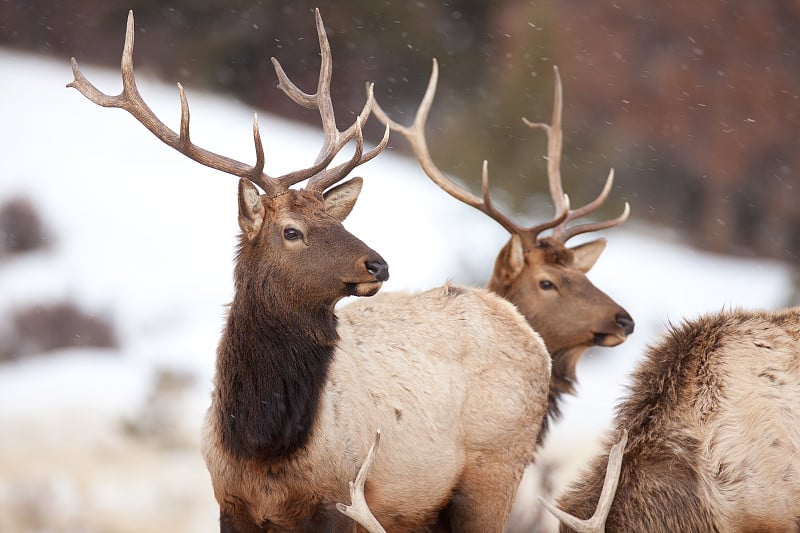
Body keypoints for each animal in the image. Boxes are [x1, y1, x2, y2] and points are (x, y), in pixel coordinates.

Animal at [69, 9, 552, 532]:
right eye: (292, 231)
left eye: (336, 220)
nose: (378, 263)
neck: (262, 441)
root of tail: (532, 335)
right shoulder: (229, 502)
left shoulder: (338, 497)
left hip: (495, 474)